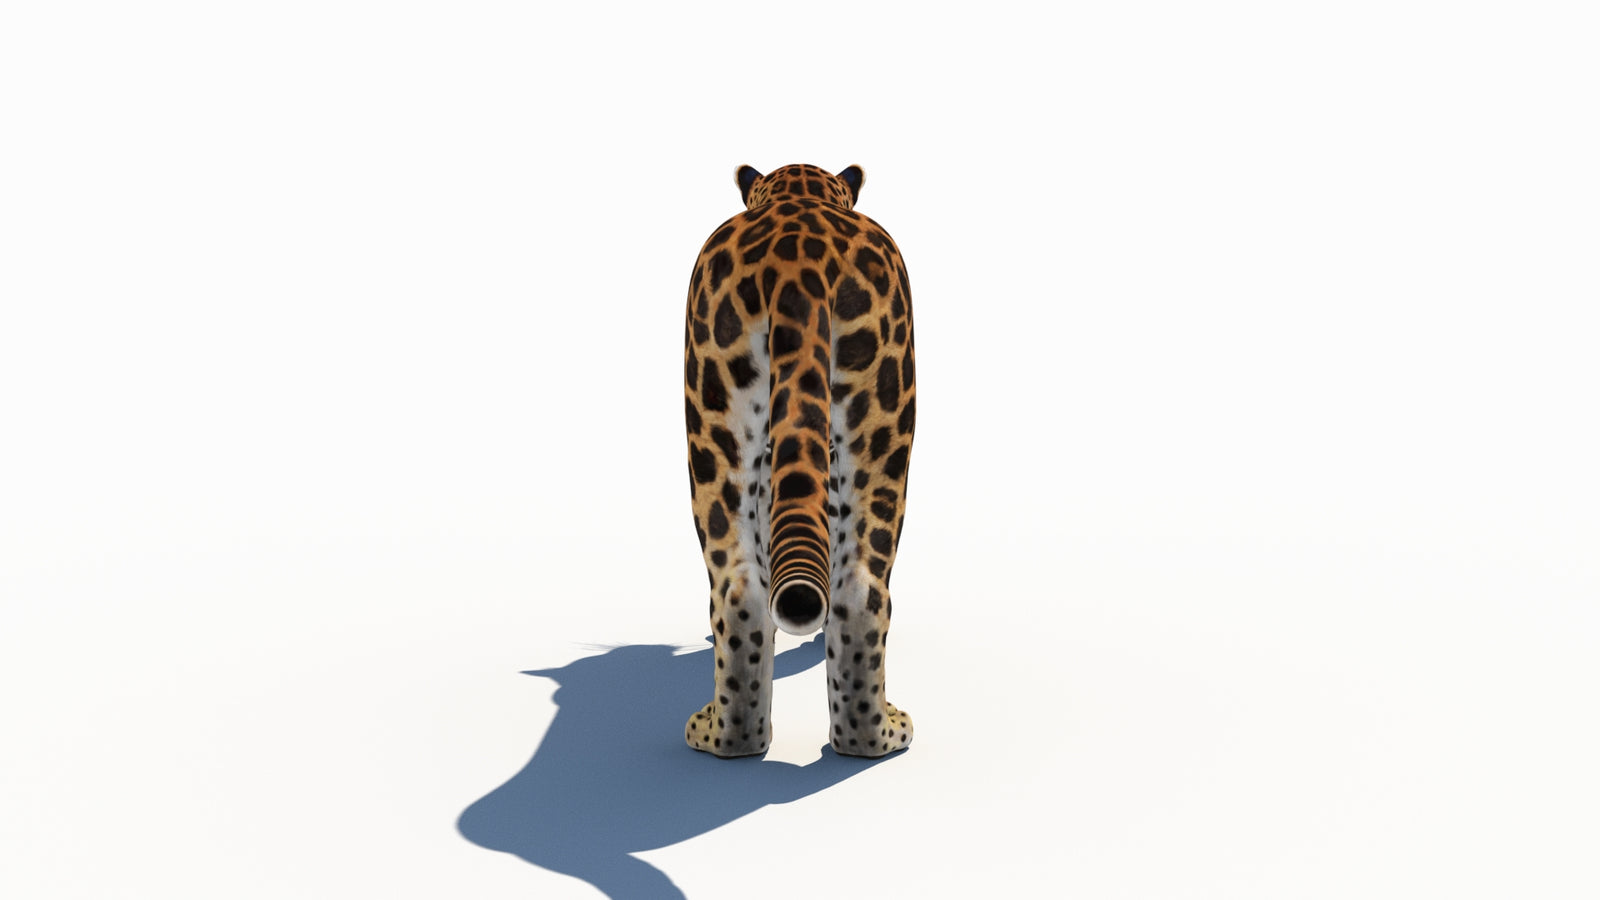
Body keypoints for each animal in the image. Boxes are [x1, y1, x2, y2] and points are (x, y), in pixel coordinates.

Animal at [682, 163, 916, 759]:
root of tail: (797, 269)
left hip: (715, 423)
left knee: (738, 588)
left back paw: (731, 739)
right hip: (885, 423)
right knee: (861, 587)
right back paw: (879, 736)